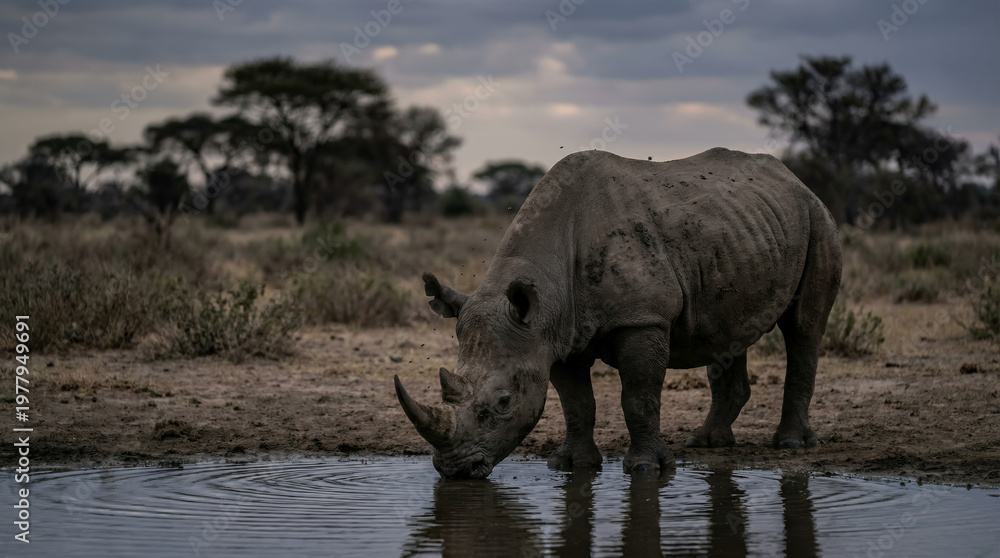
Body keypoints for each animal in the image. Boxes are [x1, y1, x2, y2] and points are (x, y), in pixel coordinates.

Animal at [394, 147, 842, 478]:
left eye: (504, 402)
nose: (454, 470)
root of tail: (794, 180)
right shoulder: (555, 334)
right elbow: (577, 403)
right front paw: (571, 465)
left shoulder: (641, 319)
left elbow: (638, 397)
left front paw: (646, 469)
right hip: (742, 232)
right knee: (727, 331)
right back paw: (707, 443)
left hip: (818, 218)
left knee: (803, 328)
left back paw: (791, 444)